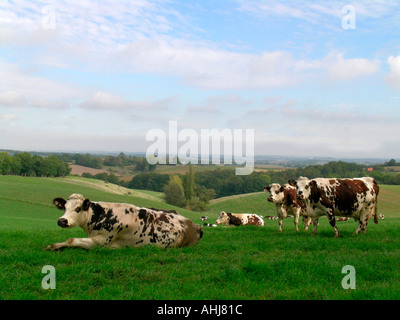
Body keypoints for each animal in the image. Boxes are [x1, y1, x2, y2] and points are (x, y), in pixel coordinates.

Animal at [45, 192, 203, 250]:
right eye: (65, 207)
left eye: (77, 208)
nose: (62, 220)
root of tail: (195, 225)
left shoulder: (101, 242)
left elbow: (72, 240)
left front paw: (53, 246)